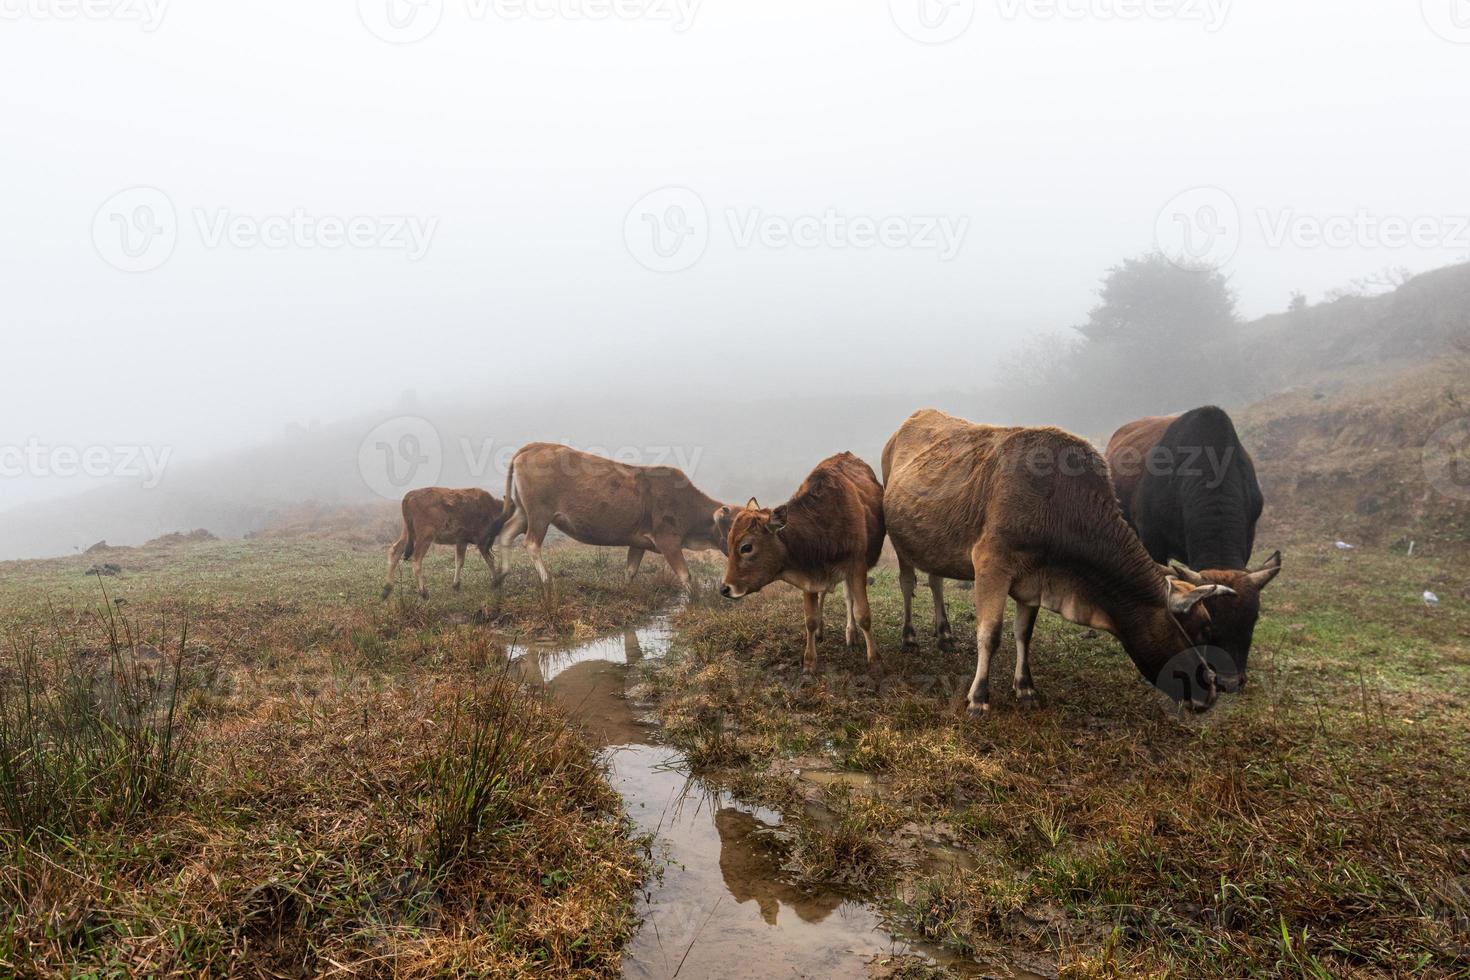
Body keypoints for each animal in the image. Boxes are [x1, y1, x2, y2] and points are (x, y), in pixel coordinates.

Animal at [490, 443, 735, 599]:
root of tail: (534, 446)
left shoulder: (638, 542)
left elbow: (631, 570)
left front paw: (625, 590)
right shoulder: (668, 541)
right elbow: (685, 575)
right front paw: (695, 601)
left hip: (524, 512)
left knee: (506, 533)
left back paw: (500, 576)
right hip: (540, 513)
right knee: (531, 543)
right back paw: (546, 580)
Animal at [714, 452, 882, 675]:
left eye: (746, 547)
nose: (725, 589)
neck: (823, 525)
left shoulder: (856, 567)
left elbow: (863, 613)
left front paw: (875, 659)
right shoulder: (809, 575)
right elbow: (810, 619)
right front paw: (809, 661)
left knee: (849, 598)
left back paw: (851, 633)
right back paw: (825, 631)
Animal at [876, 411, 1234, 717]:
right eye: (1200, 628)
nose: (1210, 692)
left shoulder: (1034, 579)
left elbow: (1023, 633)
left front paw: (1026, 688)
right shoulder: (992, 563)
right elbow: (989, 634)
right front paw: (979, 697)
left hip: (932, 542)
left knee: (935, 581)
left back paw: (945, 635)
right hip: (900, 540)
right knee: (907, 584)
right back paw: (909, 637)